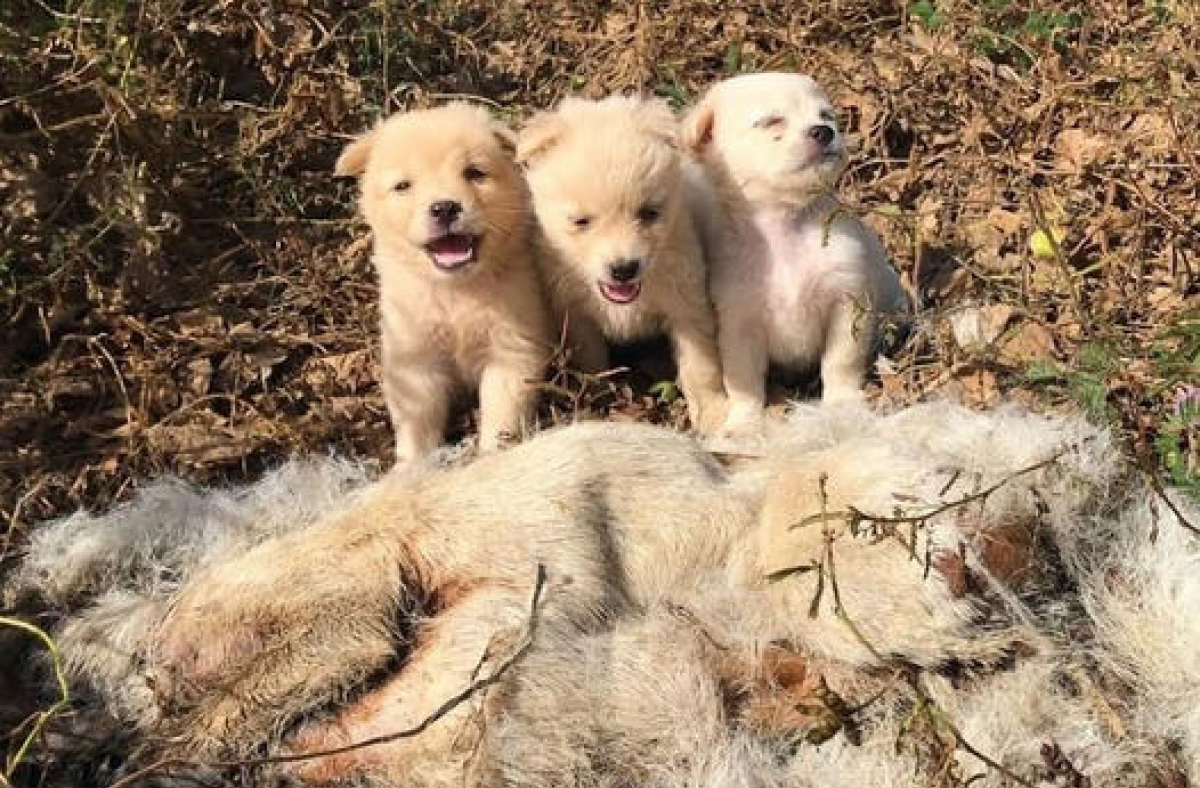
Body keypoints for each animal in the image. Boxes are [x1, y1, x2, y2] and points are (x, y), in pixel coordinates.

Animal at [338, 103, 552, 460]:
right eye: (403, 186)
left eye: (475, 173)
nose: (445, 208)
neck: (455, 291)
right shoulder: (415, 358)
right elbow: (418, 423)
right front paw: (412, 466)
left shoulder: (511, 350)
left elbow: (502, 417)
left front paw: (493, 457)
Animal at [513, 95, 724, 434]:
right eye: (581, 221)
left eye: (649, 213)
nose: (624, 269)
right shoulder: (575, 314)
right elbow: (592, 360)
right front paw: (599, 395)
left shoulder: (687, 306)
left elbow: (700, 366)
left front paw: (714, 413)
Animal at [681, 72, 902, 429]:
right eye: (772, 121)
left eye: (826, 116)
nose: (825, 131)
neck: (783, 225)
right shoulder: (739, 326)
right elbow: (743, 382)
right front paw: (744, 423)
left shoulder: (847, 305)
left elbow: (841, 362)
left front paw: (842, 405)